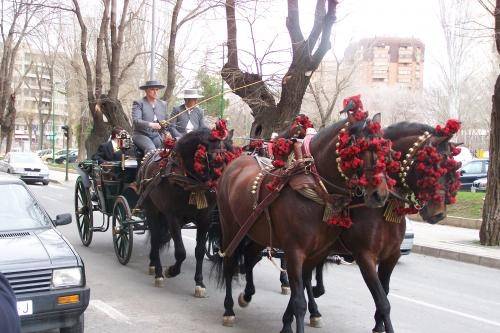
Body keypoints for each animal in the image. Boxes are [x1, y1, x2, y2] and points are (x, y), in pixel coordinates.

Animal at [138, 124, 237, 296]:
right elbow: (180, 252)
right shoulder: (173, 217)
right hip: (152, 210)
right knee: (155, 238)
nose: (225, 188)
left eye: (229, 157)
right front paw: (171, 270)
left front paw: (199, 283)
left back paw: (153, 264)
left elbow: (199, 250)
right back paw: (158, 272)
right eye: (214, 159)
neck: (190, 181)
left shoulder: (205, 219)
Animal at [213, 112, 396, 332]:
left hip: (258, 232)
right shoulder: (295, 251)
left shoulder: (316, 253)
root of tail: (238, 161)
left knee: (249, 256)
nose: (380, 194)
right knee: (229, 261)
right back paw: (228, 309)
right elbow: (299, 301)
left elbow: (301, 290)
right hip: (230, 226)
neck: (316, 190)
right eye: (357, 145)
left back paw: (247, 295)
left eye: (386, 149)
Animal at [308, 120, 464, 332]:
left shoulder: (392, 256)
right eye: (432, 165)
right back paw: (313, 308)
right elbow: (383, 301)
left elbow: (385, 291)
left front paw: (378, 325)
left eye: (450, 170)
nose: (438, 213)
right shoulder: (365, 256)